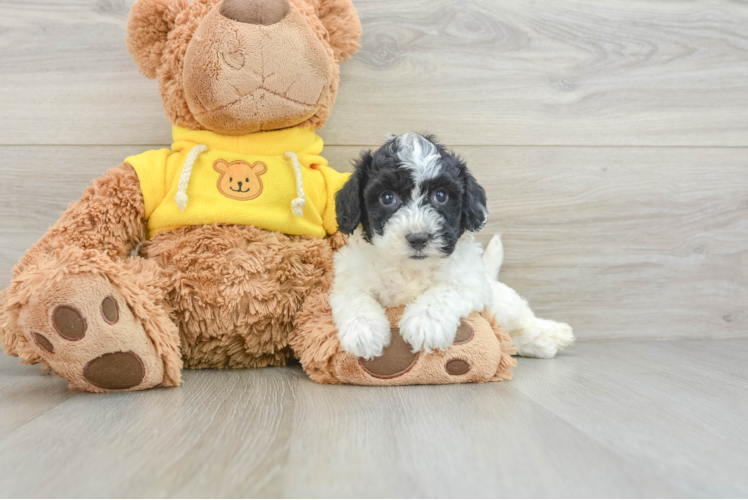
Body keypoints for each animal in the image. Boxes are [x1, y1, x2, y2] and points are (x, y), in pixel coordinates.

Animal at [334, 133, 572, 360]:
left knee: (519, 319)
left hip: (502, 300)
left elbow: (445, 289)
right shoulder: (350, 278)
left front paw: (425, 322)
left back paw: (552, 334)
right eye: (387, 197)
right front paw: (363, 331)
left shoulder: (471, 281)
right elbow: (355, 297)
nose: (418, 238)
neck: (411, 270)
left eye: (441, 196)